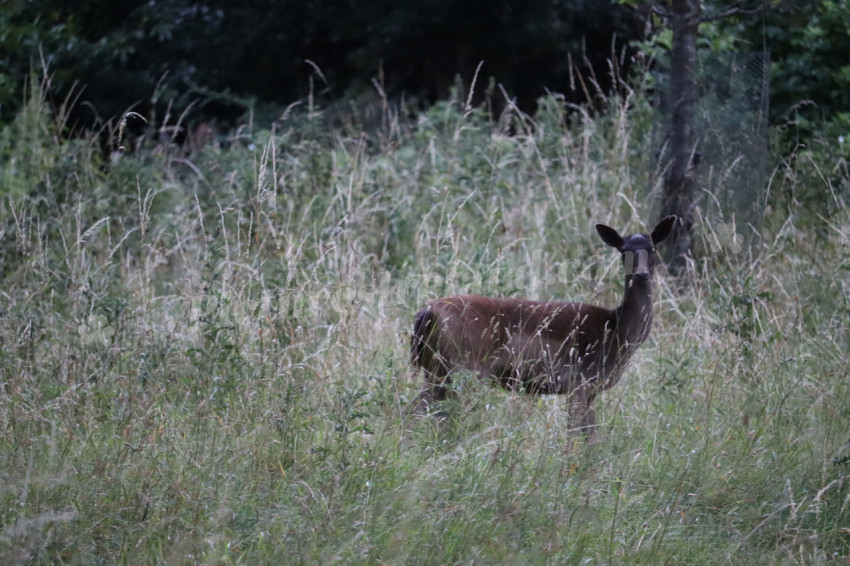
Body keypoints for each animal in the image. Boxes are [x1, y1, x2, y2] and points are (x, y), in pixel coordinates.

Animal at [410, 216, 676, 440]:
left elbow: (591, 436)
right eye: (624, 251)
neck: (617, 332)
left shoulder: (589, 389)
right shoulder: (579, 381)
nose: (641, 274)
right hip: (460, 366)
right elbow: (577, 435)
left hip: (438, 368)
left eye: (653, 249)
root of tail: (426, 312)